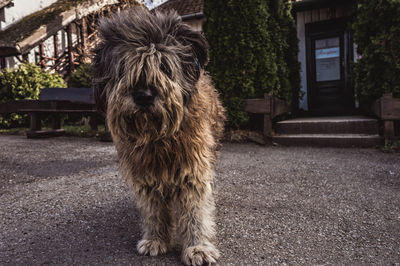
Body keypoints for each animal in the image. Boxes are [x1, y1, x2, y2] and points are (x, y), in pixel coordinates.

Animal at [93, 6, 225, 266]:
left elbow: (195, 210)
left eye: (163, 65)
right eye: (124, 67)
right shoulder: (144, 174)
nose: (143, 96)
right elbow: (153, 209)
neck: (158, 137)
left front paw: (197, 247)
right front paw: (156, 239)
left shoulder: (193, 168)